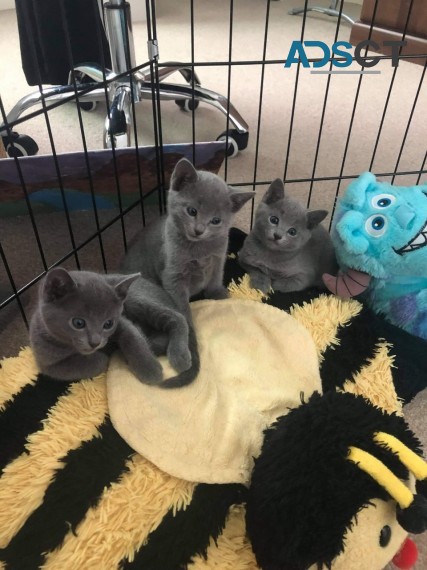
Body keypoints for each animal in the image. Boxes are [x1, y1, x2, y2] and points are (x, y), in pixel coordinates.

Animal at [120, 158, 254, 320]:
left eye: (216, 221)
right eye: (192, 211)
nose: (199, 230)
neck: (200, 248)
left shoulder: (218, 259)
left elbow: (215, 281)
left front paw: (222, 297)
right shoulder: (173, 276)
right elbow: (181, 306)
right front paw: (190, 324)